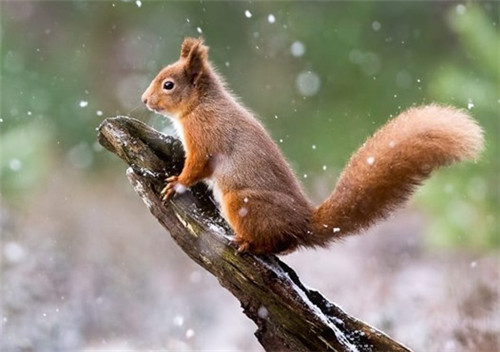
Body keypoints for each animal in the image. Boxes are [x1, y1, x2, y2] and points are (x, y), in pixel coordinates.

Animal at [142, 37, 484, 254]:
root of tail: (304, 223)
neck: (200, 105)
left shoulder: (206, 137)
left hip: (242, 201)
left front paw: (176, 183)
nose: (144, 100)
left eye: (168, 85)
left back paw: (249, 244)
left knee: (278, 243)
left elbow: (197, 166)